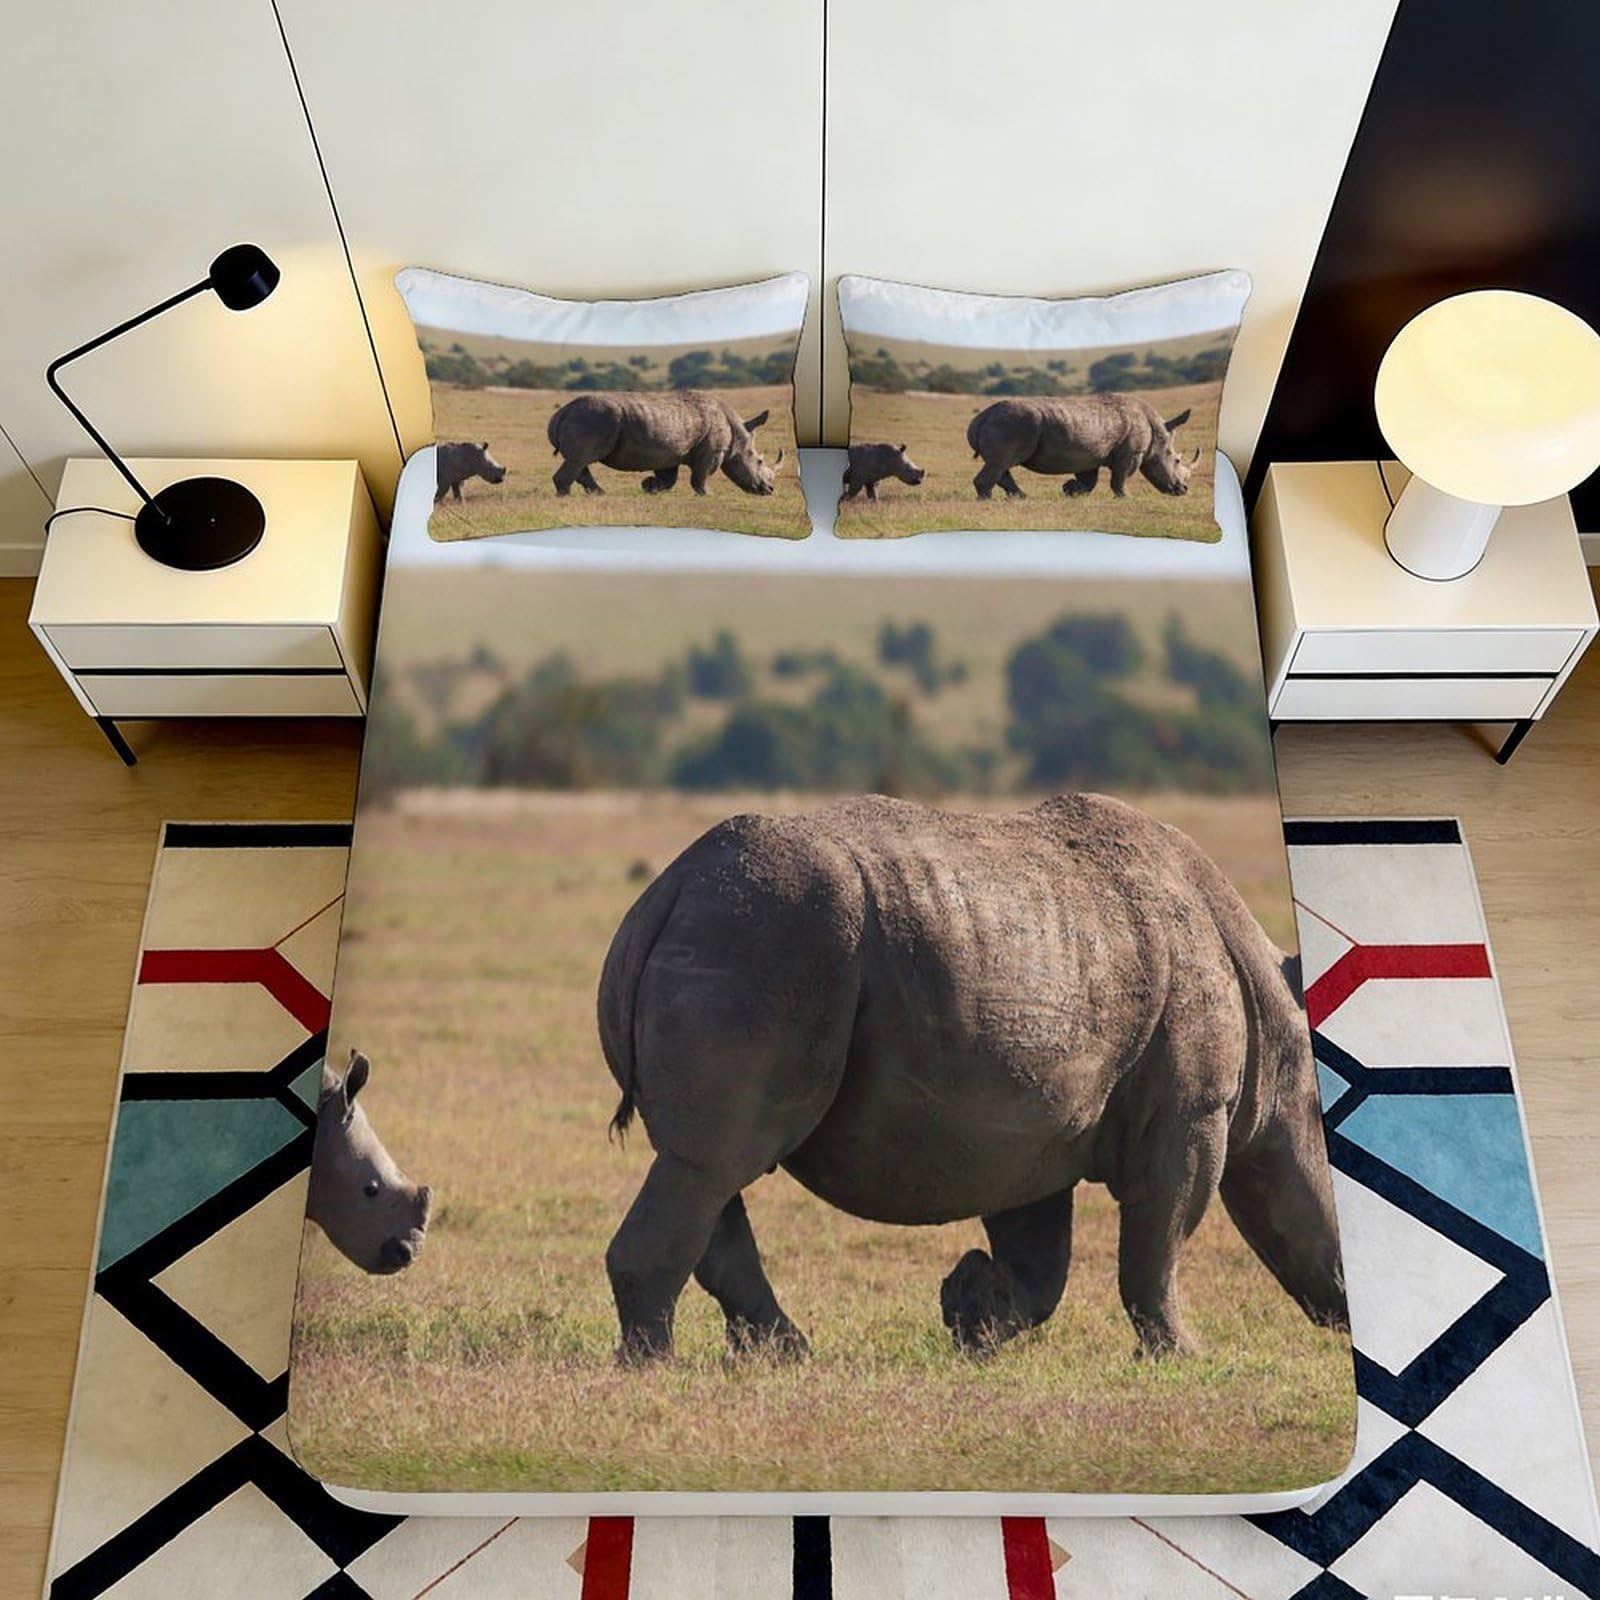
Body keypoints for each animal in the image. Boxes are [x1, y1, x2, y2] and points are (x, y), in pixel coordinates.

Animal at [546, 391, 783, 498]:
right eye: (759, 461)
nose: (769, 490)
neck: (739, 434)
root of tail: (560, 413)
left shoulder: (671, 453)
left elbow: (669, 478)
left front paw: (649, 486)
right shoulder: (712, 452)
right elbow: (701, 476)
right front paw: (708, 495)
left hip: (590, 418)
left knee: (580, 461)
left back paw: (599, 494)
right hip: (594, 418)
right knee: (580, 459)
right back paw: (565, 496)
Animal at [598, 794, 1347, 1364]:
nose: (1345, 1314)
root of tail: (667, 891)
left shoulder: (1033, 1125)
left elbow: (1042, 1262)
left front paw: (970, 1317)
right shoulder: (1191, 1112)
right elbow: (1159, 1238)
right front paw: (1181, 1356)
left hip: (745, 937)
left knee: (706, 1169)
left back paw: (784, 1357)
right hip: (767, 940)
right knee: (714, 1162)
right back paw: (656, 1367)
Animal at [966, 394, 1200, 501]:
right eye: (1177, 460)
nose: (1183, 490)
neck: (1158, 432)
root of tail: (979, 418)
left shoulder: (1090, 454)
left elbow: (1089, 480)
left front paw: (1070, 490)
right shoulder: (1131, 453)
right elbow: (1120, 477)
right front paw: (1126, 498)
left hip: (1008, 423)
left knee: (1001, 465)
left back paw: (1021, 498)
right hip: (1013, 423)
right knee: (1000, 462)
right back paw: (987, 500)